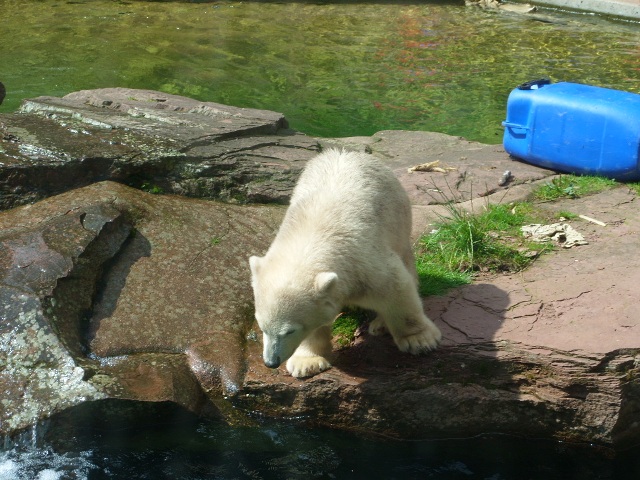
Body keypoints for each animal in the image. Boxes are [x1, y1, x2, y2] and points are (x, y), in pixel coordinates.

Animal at [248, 150, 442, 378]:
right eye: (261, 326)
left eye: (289, 330)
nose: (271, 362)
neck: (312, 236)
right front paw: (306, 362)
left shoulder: (365, 263)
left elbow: (397, 288)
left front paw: (419, 340)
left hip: (398, 217)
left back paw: (381, 325)